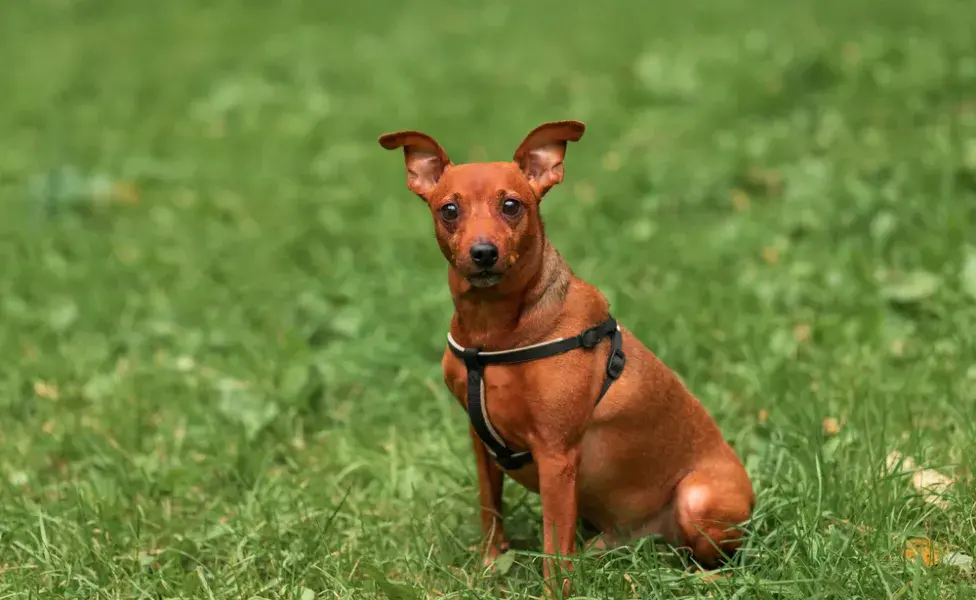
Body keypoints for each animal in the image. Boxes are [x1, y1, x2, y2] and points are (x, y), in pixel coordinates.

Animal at [380, 120, 756, 596]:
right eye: (449, 210)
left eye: (511, 205)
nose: (483, 253)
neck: (493, 333)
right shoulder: (480, 443)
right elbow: (491, 512)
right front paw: (490, 565)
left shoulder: (556, 457)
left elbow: (554, 551)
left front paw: (553, 592)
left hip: (698, 499)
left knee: (721, 559)